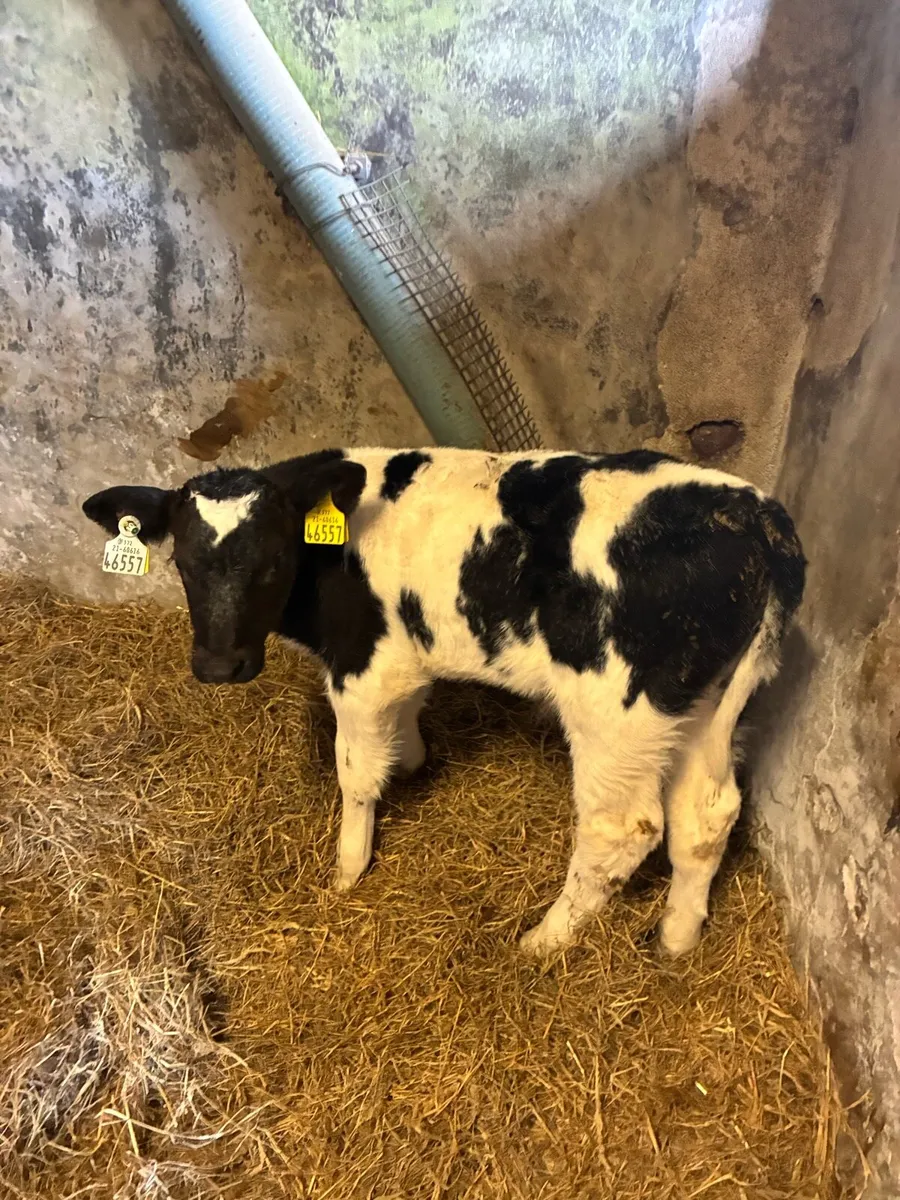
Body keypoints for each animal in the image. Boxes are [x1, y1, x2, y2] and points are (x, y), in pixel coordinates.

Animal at [83, 447, 805, 957]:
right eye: (183, 564)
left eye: (272, 561)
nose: (219, 666)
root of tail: (755, 515)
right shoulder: (405, 660)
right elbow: (406, 722)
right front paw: (409, 759)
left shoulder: (362, 667)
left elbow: (355, 773)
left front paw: (348, 869)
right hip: (705, 703)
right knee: (707, 813)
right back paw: (676, 938)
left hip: (617, 713)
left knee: (622, 829)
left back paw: (544, 939)